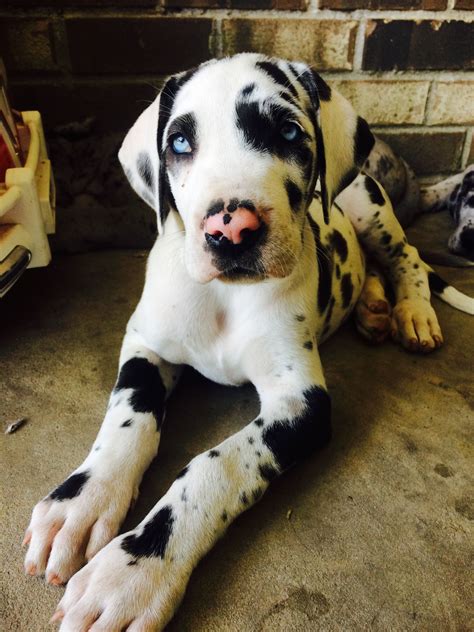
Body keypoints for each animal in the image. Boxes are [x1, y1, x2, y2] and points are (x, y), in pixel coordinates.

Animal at [23, 55, 474, 632]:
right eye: (179, 142)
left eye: (288, 132)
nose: (230, 229)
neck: (224, 298)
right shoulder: (145, 345)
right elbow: (129, 417)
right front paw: (81, 502)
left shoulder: (302, 403)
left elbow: (214, 465)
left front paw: (130, 572)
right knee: (370, 267)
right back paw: (373, 310)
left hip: (366, 204)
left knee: (406, 256)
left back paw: (412, 313)